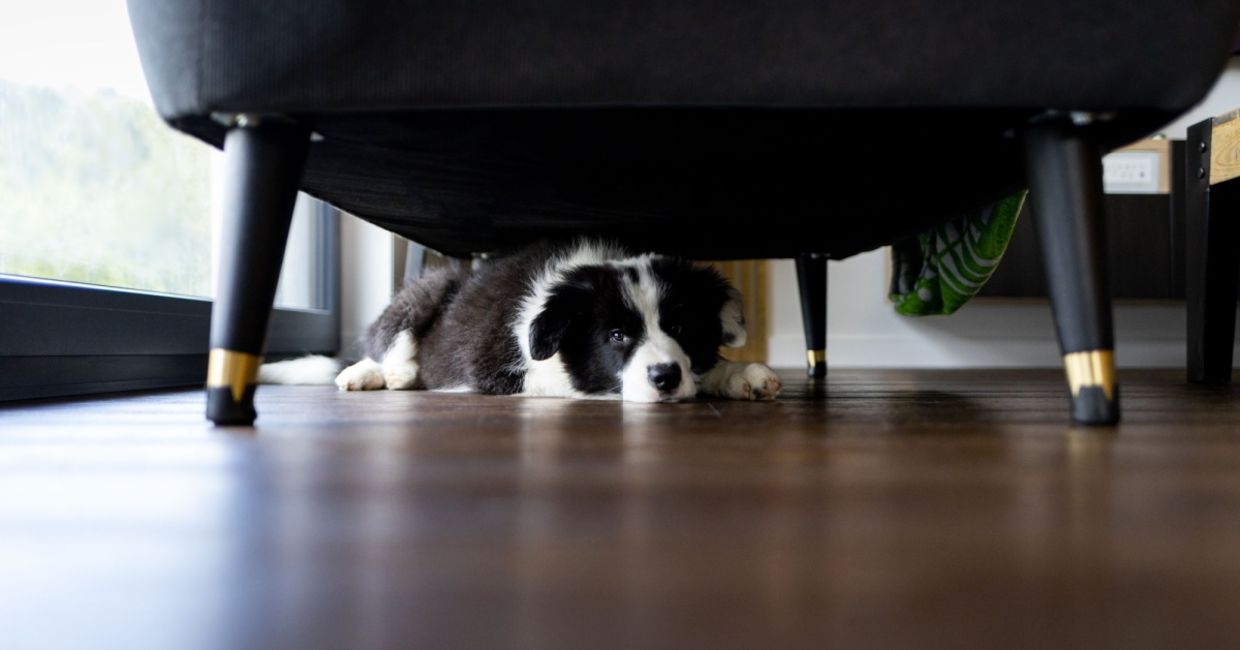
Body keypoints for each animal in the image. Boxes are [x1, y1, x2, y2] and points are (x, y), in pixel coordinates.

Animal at [260, 238, 778, 401]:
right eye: (616, 335)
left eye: (681, 328)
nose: (665, 377)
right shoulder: (498, 370)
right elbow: (574, 379)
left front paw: (740, 375)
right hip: (427, 288)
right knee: (384, 342)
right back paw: (379, 373)